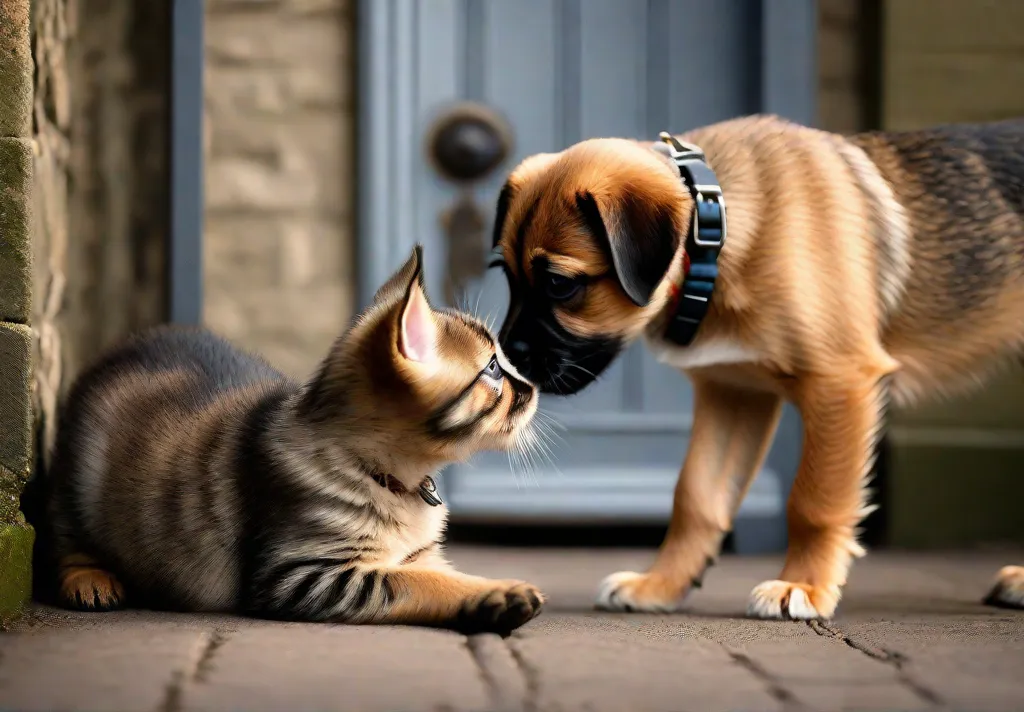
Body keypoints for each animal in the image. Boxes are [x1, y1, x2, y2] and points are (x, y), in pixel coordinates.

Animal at [41, 246, 544, 635]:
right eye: (493, 369)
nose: (534, 385)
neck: (386, 475)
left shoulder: (416, 556)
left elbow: (438, 574)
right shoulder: (300, 575)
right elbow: (414, 584)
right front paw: (497, 594)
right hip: (76, 480)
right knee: (65, 535)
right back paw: (90, 580)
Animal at [489, 115, 1024, 618]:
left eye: (560, 284)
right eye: (507, 277)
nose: (506, 359)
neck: (717, 231)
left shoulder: (839, 382)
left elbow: (814, 500)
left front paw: (803, 586)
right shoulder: (734, 392)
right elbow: (695, 496)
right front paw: (661, 585)